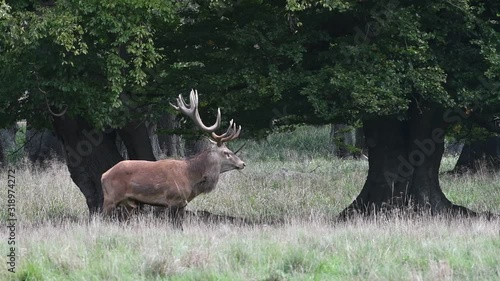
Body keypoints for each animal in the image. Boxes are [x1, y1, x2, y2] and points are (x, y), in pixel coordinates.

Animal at [100, 89, 245, 228]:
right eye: (227, 152)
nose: (243, 163)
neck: (191, 177)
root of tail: (103, 175)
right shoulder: (173, 200)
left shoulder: (182, 204)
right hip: (110, 197)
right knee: (103, 219)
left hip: (128, 203)